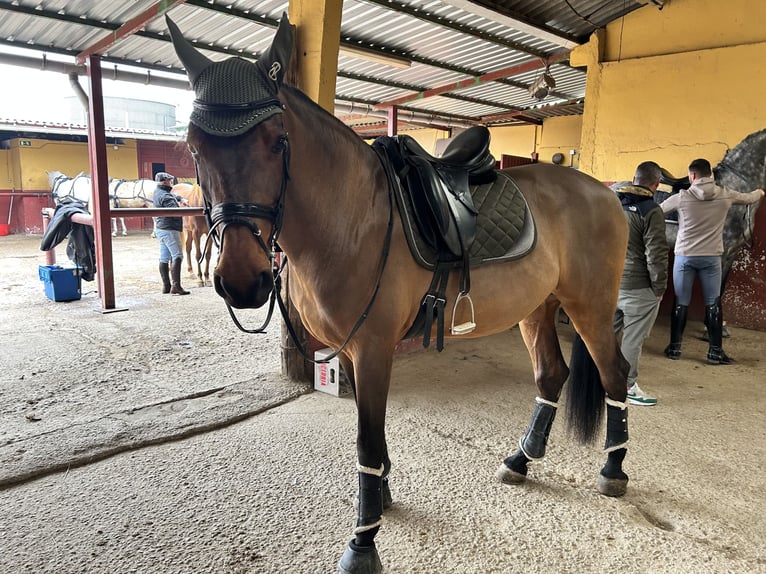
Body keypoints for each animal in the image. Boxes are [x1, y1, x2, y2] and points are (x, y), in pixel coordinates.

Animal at [171, 14, 632, 574]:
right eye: (195, 146)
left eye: (277, 140)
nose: (243, 280)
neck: (352, 220)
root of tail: (606, 192)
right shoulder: (350, 352)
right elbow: (372, 440)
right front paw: (380, 499)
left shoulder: (372, 349)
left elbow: (366, 443)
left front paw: (363, 541)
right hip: (537, 308)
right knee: (552, 374)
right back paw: (521, 460)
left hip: (590, 306)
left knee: (616, 374)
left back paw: (613, 471)